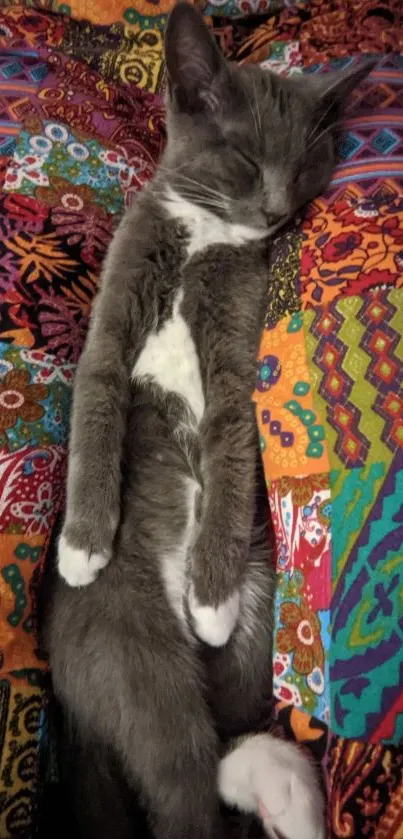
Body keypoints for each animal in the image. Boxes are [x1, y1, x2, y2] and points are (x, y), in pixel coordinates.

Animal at [46, 3, 376, 836]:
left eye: (306, 166)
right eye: (245, 160)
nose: (278, 210)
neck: (206, 236)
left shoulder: (236, 342)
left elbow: (229, 442)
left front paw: (212, 598)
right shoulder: (118, 292)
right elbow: (96, 397)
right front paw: (81, 545)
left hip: (256, 615)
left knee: (215, 760)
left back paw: (283, 786)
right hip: (133, 652)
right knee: (182, 780)